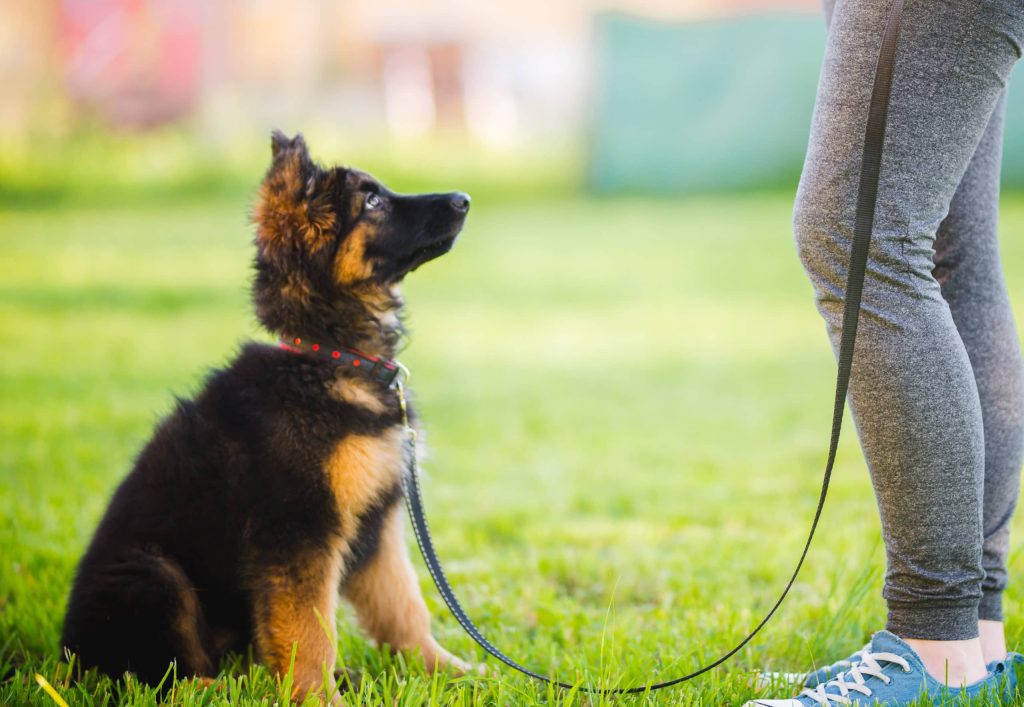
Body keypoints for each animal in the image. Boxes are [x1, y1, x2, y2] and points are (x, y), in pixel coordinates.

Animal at [62, 132, 475, 700]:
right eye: (371, 202)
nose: (464, 199)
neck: (329, 358)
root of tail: (67, 658)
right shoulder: (297, 530)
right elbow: (310, 633)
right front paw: (318, 699)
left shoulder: (379, 521)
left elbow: (404, 605)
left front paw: (446, 669)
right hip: (153, 574)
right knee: (165, 677)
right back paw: (224, 690)